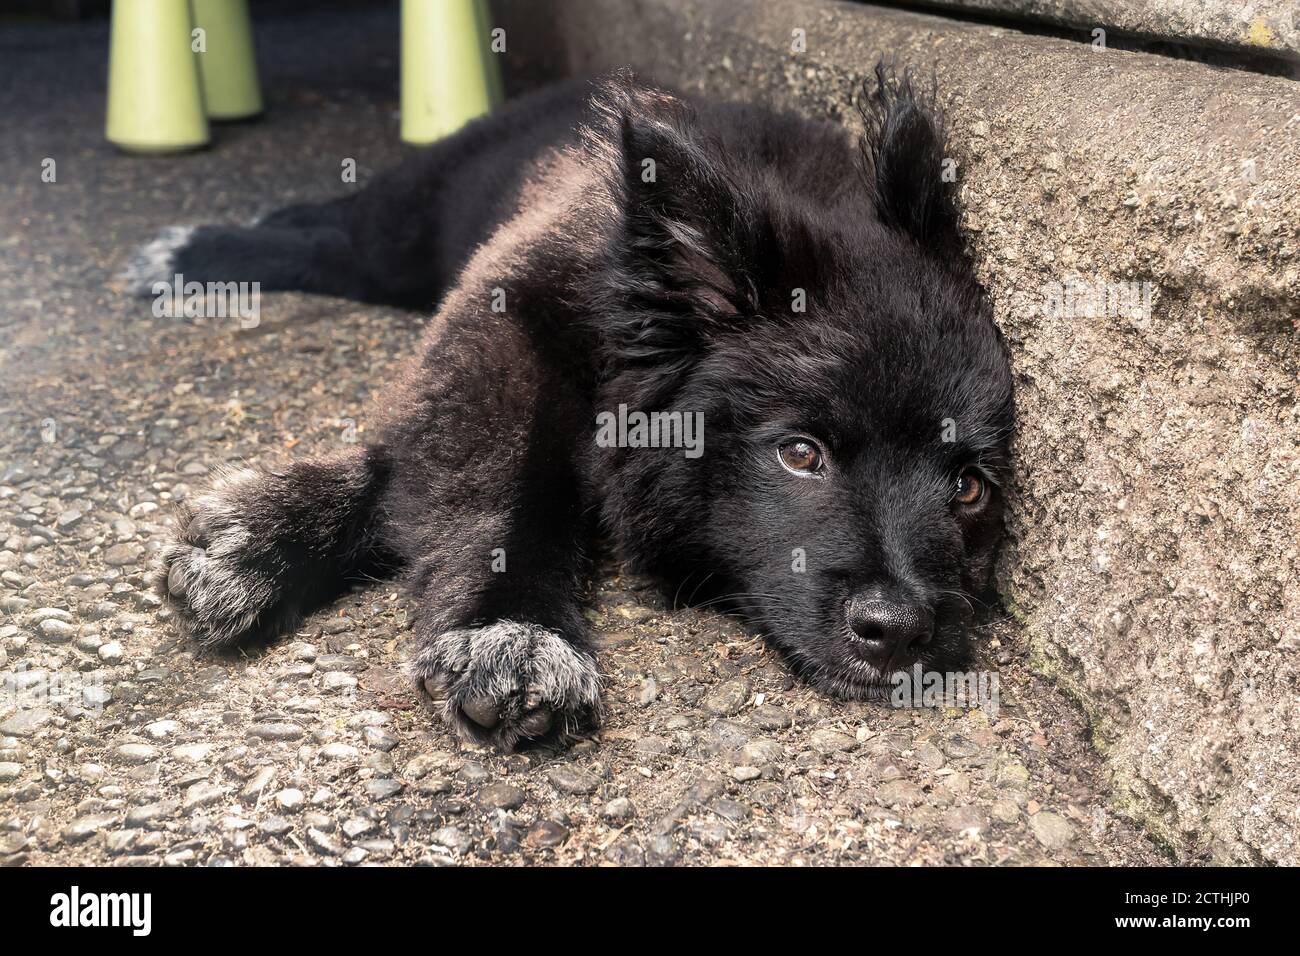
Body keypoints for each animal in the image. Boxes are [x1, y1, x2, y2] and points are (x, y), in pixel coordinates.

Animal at [139, 69, 1013, 754]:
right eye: (801, 453)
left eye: (970, 488)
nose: (901, 633)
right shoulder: (504, 323)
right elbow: (494, 480)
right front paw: (511, 626)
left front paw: (268, 534)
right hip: (409, 222)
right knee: (336, 238)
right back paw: (196, 251)